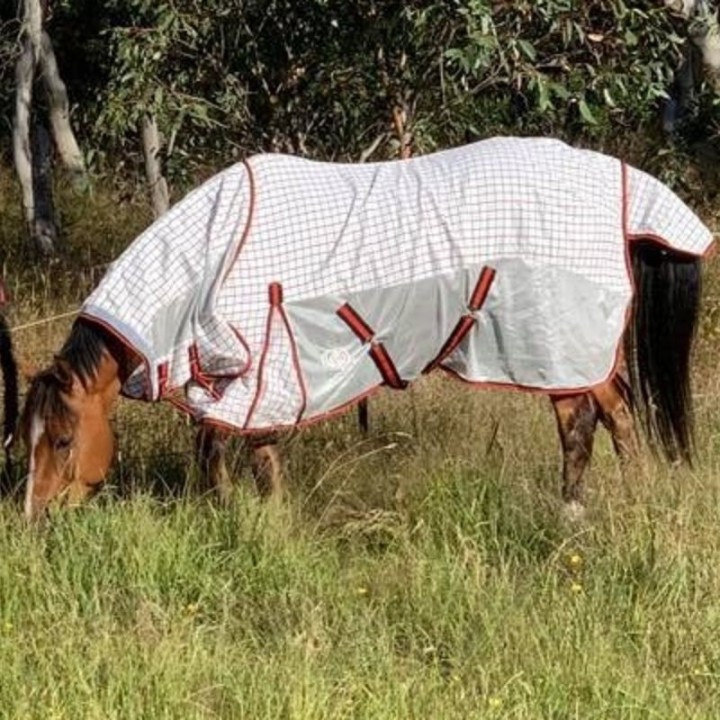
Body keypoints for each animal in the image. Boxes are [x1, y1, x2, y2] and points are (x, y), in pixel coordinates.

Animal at [19, 137, 714, 520]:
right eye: (21, 442)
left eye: (62, 441)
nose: (33, 522)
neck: (213, 256)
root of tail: (620, 180)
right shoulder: (232, 379)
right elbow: (213, 448)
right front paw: (225, 513)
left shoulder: (267, 376)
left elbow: (247, 455)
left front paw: (265, 525)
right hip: (572, 350)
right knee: (607, 414)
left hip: (557, 344)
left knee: (591, 421)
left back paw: (586, 512)